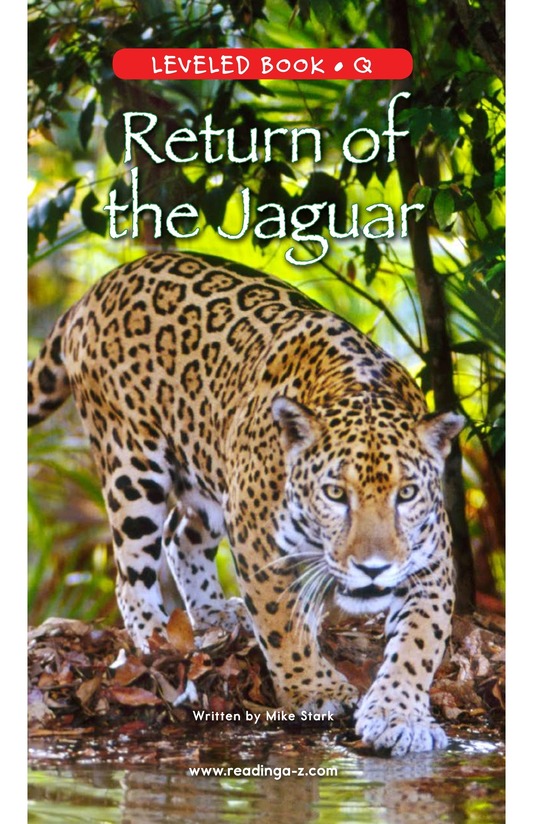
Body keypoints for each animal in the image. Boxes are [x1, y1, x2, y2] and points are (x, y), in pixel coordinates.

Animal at [28, 251, 464, 756]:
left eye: (406, 493)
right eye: (336, 493)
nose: (373, 568)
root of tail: (96, 290)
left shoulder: (430, 561)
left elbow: (419, 641)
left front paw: (399, 714)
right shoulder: (258, 543)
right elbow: (282, 625)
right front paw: (315, 689)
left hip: (210, 475)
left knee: (181, 536)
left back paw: (213, 612)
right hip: (131, 464)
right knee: (130, 574)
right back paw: (157, 641)